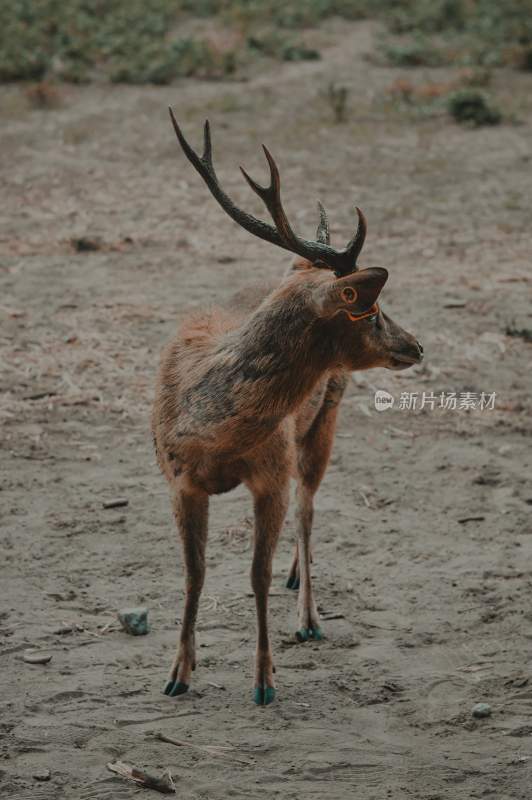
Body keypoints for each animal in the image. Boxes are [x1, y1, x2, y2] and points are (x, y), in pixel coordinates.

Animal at [153, 108, 424, 708]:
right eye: (371, 312)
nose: (416, 345)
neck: (212, 432)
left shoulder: (270, 476)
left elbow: (256, 574)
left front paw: (264, 681)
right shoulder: (178, 481)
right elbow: (193, 574)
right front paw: (178, 674)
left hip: (326, 417)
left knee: (309, 507)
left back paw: (308, 616)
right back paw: (298, 581)